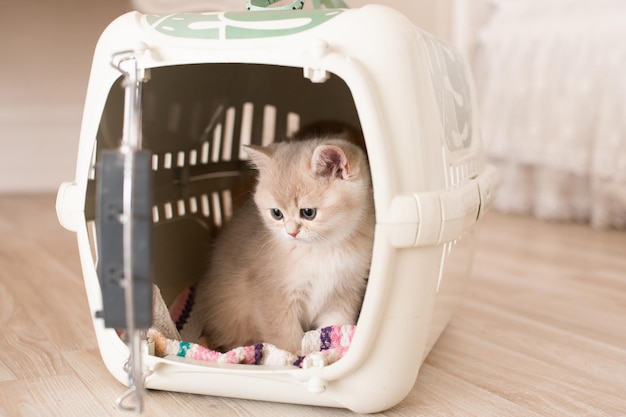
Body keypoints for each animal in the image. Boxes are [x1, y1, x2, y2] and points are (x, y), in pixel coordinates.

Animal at [193, 137, 372, 354]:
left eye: (308, 212)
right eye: (276, 213)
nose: (291, 232)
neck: (323, 249)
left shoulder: (342, 296)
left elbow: (335, 326)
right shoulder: (275, 299)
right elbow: (287, 340)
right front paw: (295, 357)